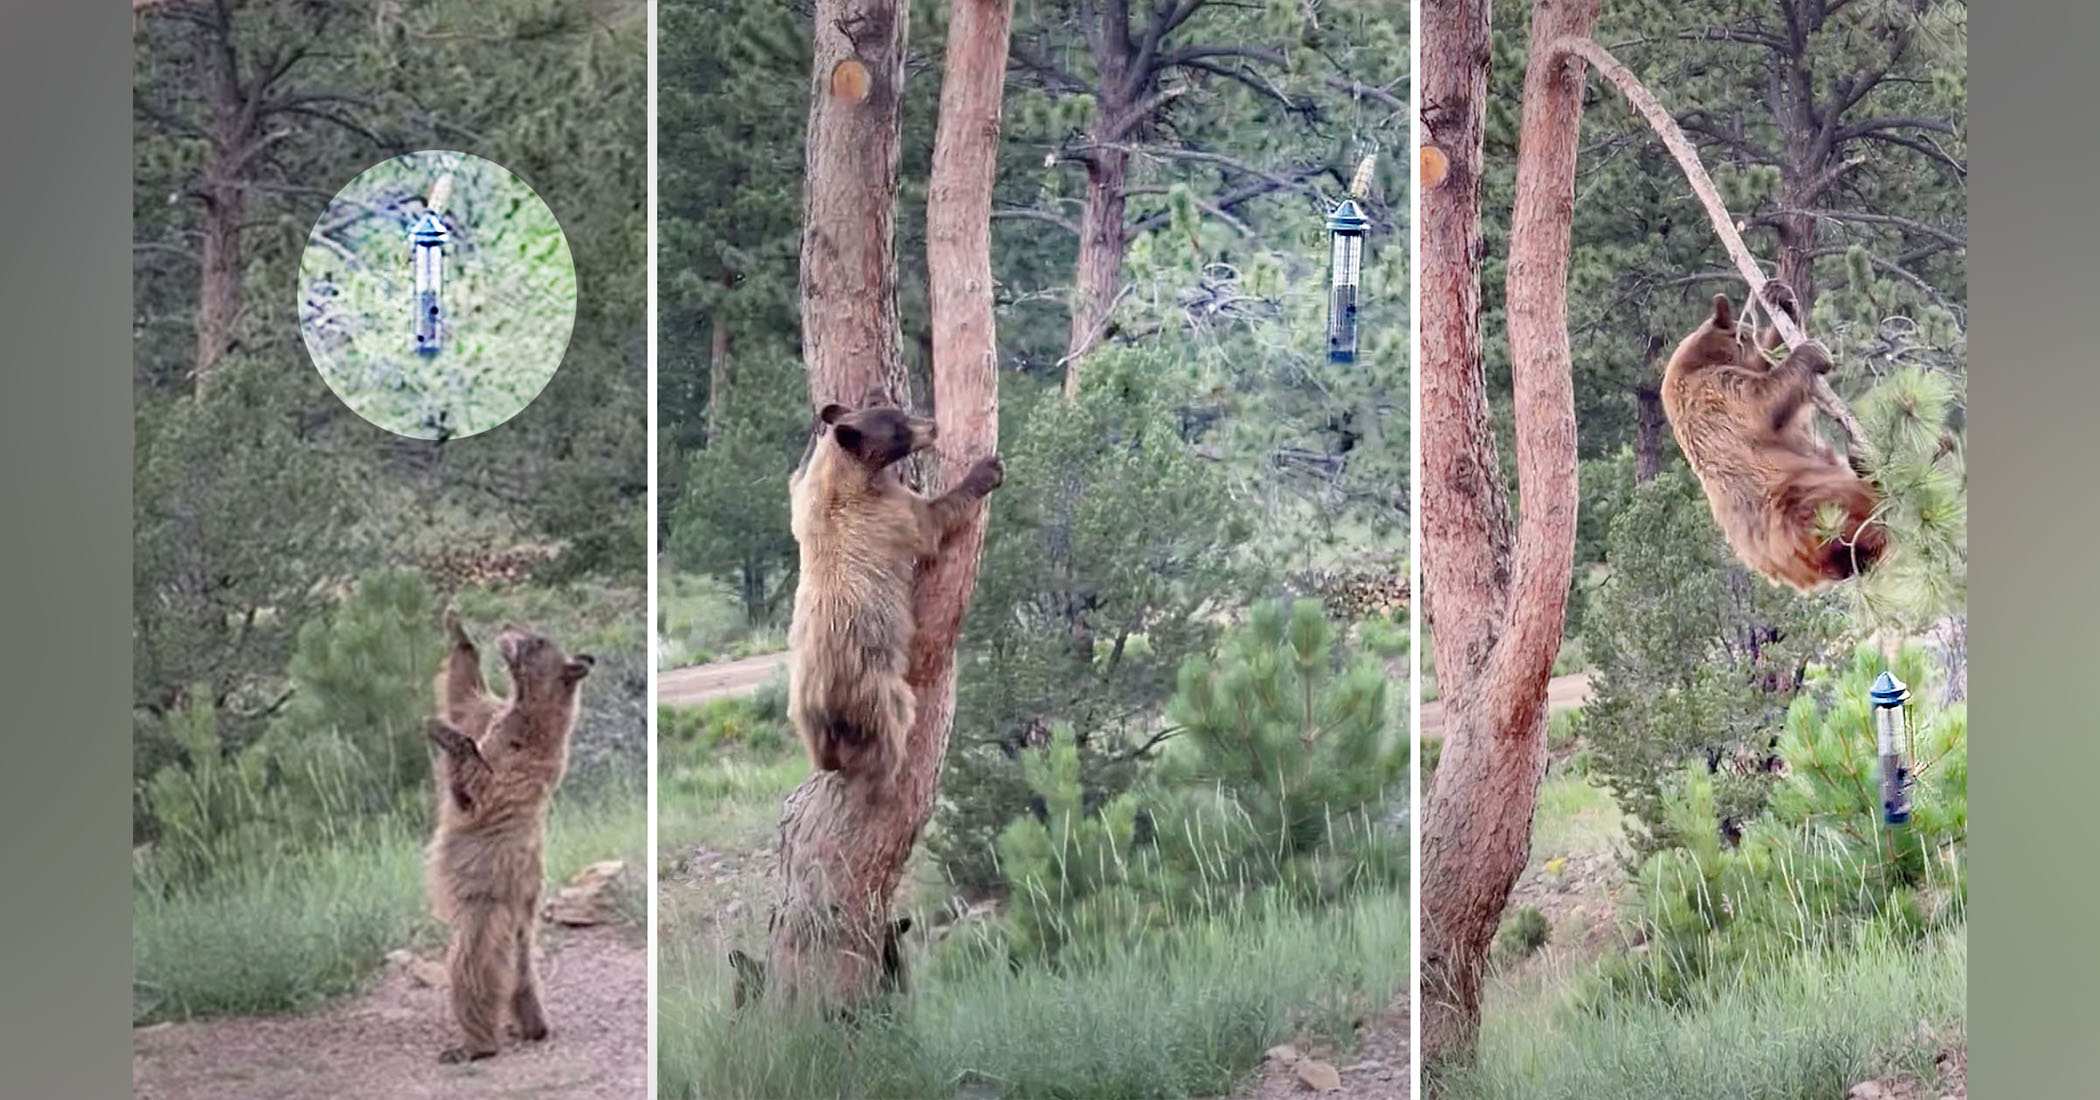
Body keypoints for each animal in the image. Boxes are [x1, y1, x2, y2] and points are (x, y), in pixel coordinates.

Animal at [424, 608, 596, 1066]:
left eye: (537, 641)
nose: (505, 628)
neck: (528, 711)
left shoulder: (520, 761)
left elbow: (481, 781)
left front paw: (442, 732)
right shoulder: (496, 718)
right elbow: (465, 698)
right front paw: (458, 628)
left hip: (486, 910)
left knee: (473, 969)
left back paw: (472, 1044)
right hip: (515, 926)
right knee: (520, 975)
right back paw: (532, 1025)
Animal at [785, 398, 1003, 785]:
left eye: (898, 412)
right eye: (898, 428)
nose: (932, 425)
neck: (846, 476)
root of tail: (825, 702)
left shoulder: (806, 505)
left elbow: (796, 478)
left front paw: (822, 421)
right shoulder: (888, 511)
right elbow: (931, 521)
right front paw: (985, 471)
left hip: (802, 709)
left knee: (819, 747)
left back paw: (828, 761)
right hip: (876, 689)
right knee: (892, 725)